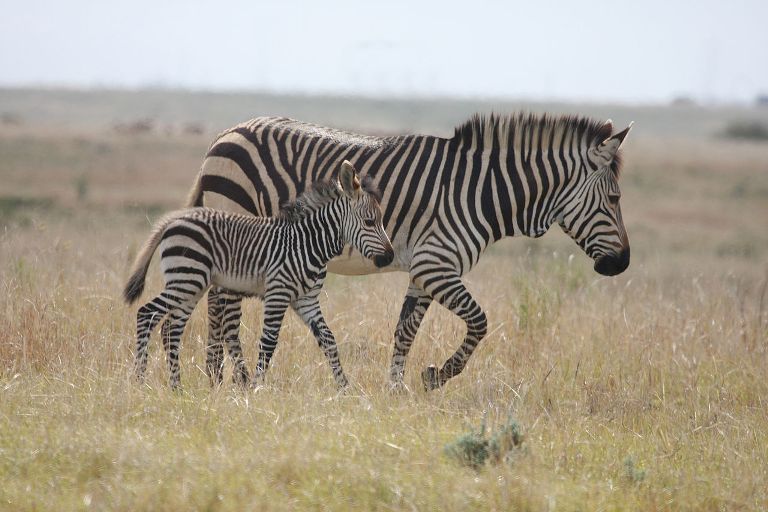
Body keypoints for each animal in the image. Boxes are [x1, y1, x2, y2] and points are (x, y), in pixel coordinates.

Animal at [124, 162, 396, 390]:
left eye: (380, 221)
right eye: (370, 222)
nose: (389, 257)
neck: (309, 244)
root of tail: (173, 220)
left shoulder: (306, 300)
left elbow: (328, 339)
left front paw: (344, 387)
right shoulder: (278, 293)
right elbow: (269, 342)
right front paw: (256, 388)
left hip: (190, 285)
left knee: (171, 329)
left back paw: (176, 387)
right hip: (186, 279)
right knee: (147, 314)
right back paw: (139, 380)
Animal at [184, 114, 632, 390]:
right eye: (614, 198)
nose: (623, 263)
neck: (481, 193)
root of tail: (225, 133)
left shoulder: (426, 269)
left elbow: (405, 330)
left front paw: (396, 390)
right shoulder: (437, 265)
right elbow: (480, 322)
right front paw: (438, 375)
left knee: (219, 307)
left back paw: (216, 379)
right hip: (237, 224)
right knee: (223, 311)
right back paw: (231, 381)